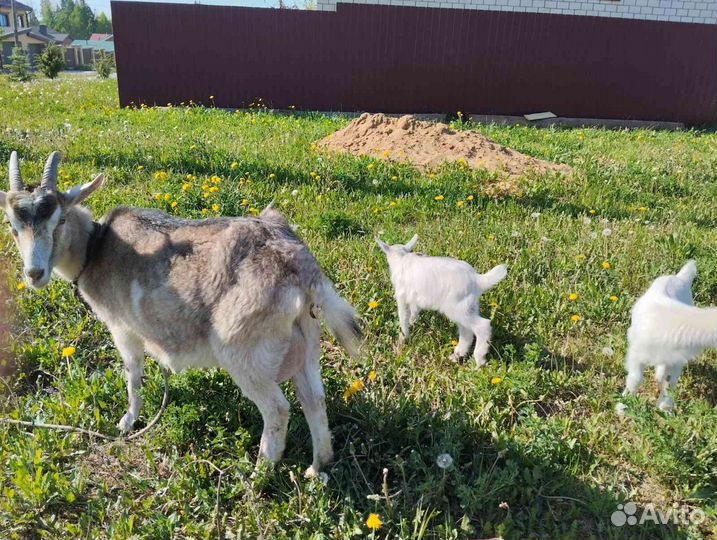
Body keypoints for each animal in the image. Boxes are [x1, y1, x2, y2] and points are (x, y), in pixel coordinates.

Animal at [1, 151, 362, 476]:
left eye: (59, 219)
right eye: (13, 227)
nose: (34, 274)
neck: (95, 249)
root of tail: (297, 265)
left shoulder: (122, 327)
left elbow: (133, 374)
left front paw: (127, 421)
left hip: (244, 350)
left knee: (277, 409)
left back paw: (259, 473)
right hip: (307, 339)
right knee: (314, 399)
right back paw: (317, 468)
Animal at [375, 235, 507, 366]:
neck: (401, 258)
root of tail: (477, 279)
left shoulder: (401, 297)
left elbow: (403, 319)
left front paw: (402, 340)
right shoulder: (414, 298)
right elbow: (414, 311)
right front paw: (413, 323)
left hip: (456, 308)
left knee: (482, 326)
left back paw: (479, 361)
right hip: (468, 307)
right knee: (467, 332)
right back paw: (457, 355)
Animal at [620, 260, 717, 413]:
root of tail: (679, 278)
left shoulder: (677, 361)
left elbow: (669, 385)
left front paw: (665, 411)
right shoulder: (636, 354)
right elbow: (635, 379)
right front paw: (624, 402)